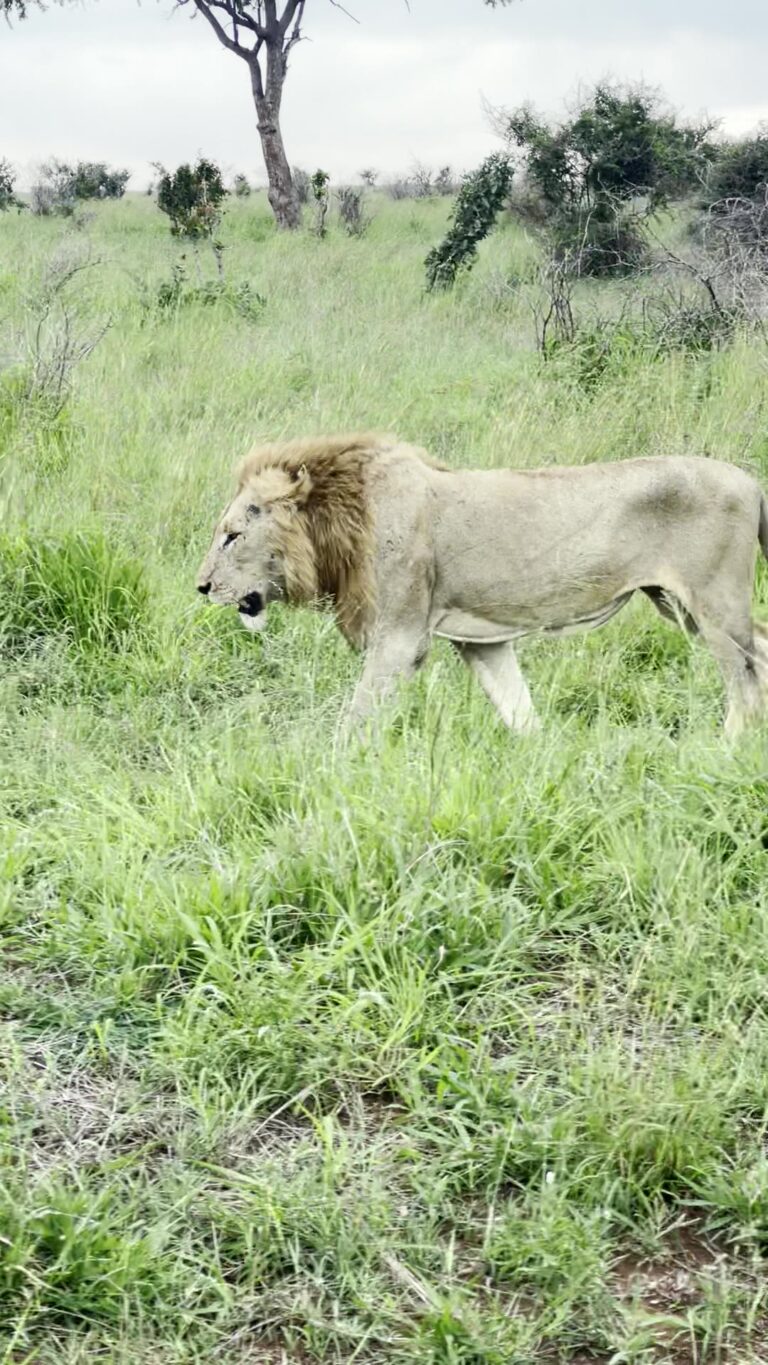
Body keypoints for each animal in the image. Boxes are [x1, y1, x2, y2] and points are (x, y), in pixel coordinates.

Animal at [196, 433, 768, 736]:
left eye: (232, 535)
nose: (201, 588)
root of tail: (751, 482)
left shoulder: (399, 637)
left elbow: (356, 719)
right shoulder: (480, 641)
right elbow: (517, 707)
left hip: (713, 605)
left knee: (744, 679)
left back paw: (726, 750)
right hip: (683, 606)